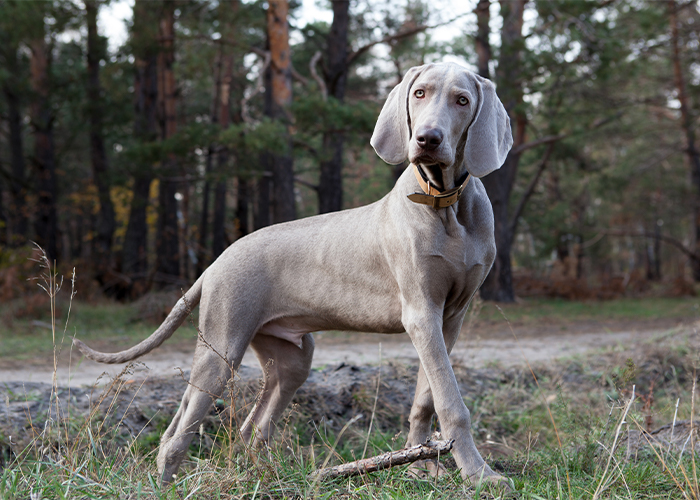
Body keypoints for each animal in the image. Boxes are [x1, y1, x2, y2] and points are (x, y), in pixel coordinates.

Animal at [75, 60, 516, 486]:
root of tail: (216, 261)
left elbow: (427, 396)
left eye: (462, 100)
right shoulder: (421, 312)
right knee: (181, 432)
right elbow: (451, 402)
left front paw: (422, 467)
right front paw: (479, 475)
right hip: (222, 347)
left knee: (250, 428)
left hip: (290, 359)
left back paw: (262, 477)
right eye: (420, 93)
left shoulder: (449, 317)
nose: (427, 139)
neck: (445, 202)